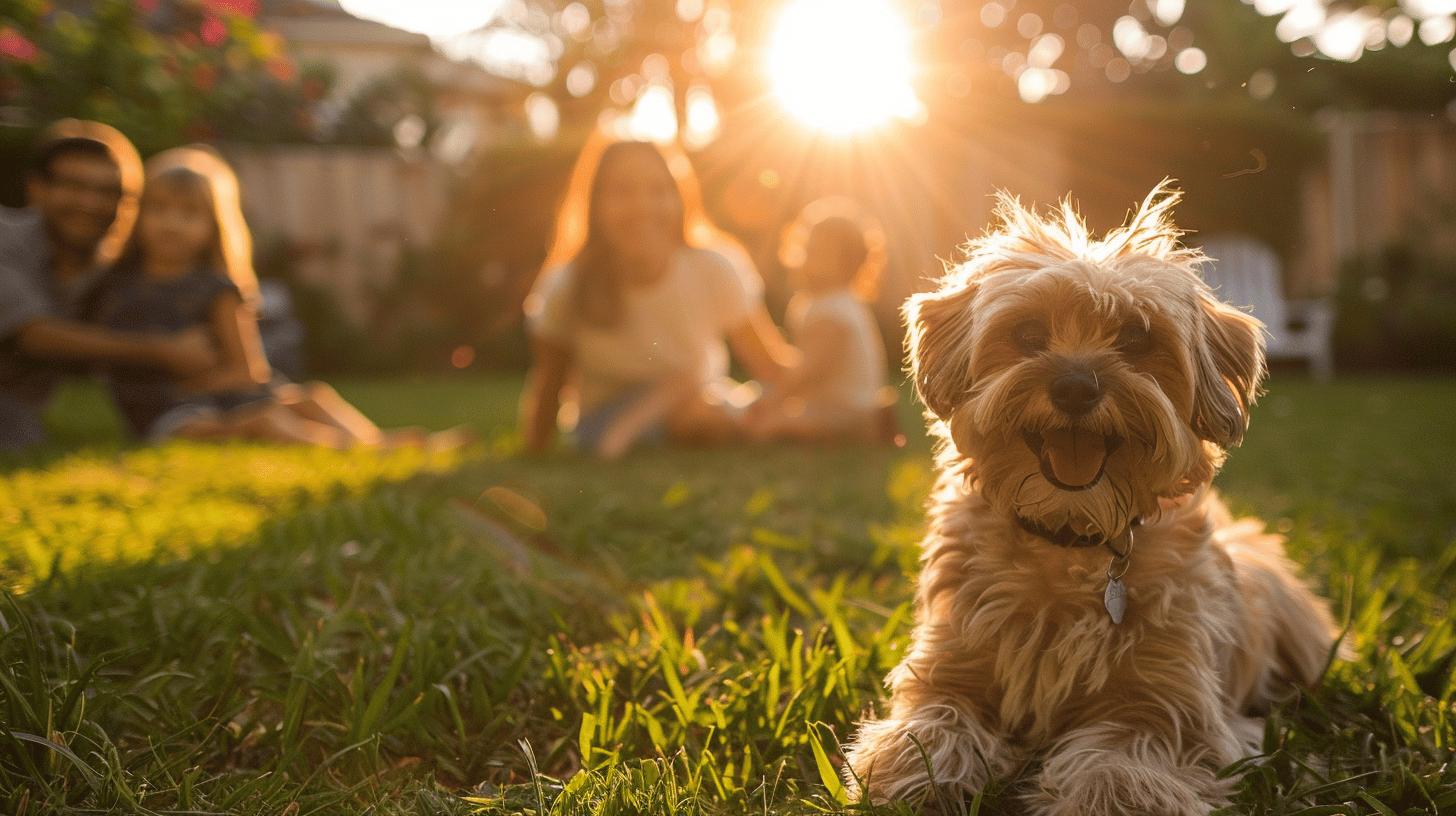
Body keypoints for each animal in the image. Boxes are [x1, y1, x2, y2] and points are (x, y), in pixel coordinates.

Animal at [850, 186, 1333, 816]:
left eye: (1136, 337)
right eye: (1028, 334)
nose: (1075, 387)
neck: (1071, 539)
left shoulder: (1169, 700)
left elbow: (1127, 747)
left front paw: (1111, 791)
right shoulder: (950, 668)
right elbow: (935, 719)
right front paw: (915, 771)